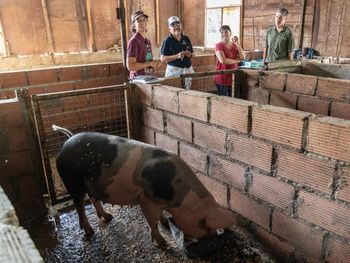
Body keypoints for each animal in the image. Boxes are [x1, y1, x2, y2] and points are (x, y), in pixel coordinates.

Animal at [52, 125, 238, 246]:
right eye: (205, 226)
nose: (211, 236)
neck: (179, 196)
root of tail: (66, 143)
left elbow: (159, 217)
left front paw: (165, 221)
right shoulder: (146, 200)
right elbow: (152, 221)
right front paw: (162, 243)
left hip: (90, 182)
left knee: (93, 199)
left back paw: (108, 217)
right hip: (73, 181)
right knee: (79, 206)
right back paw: (90, 232)